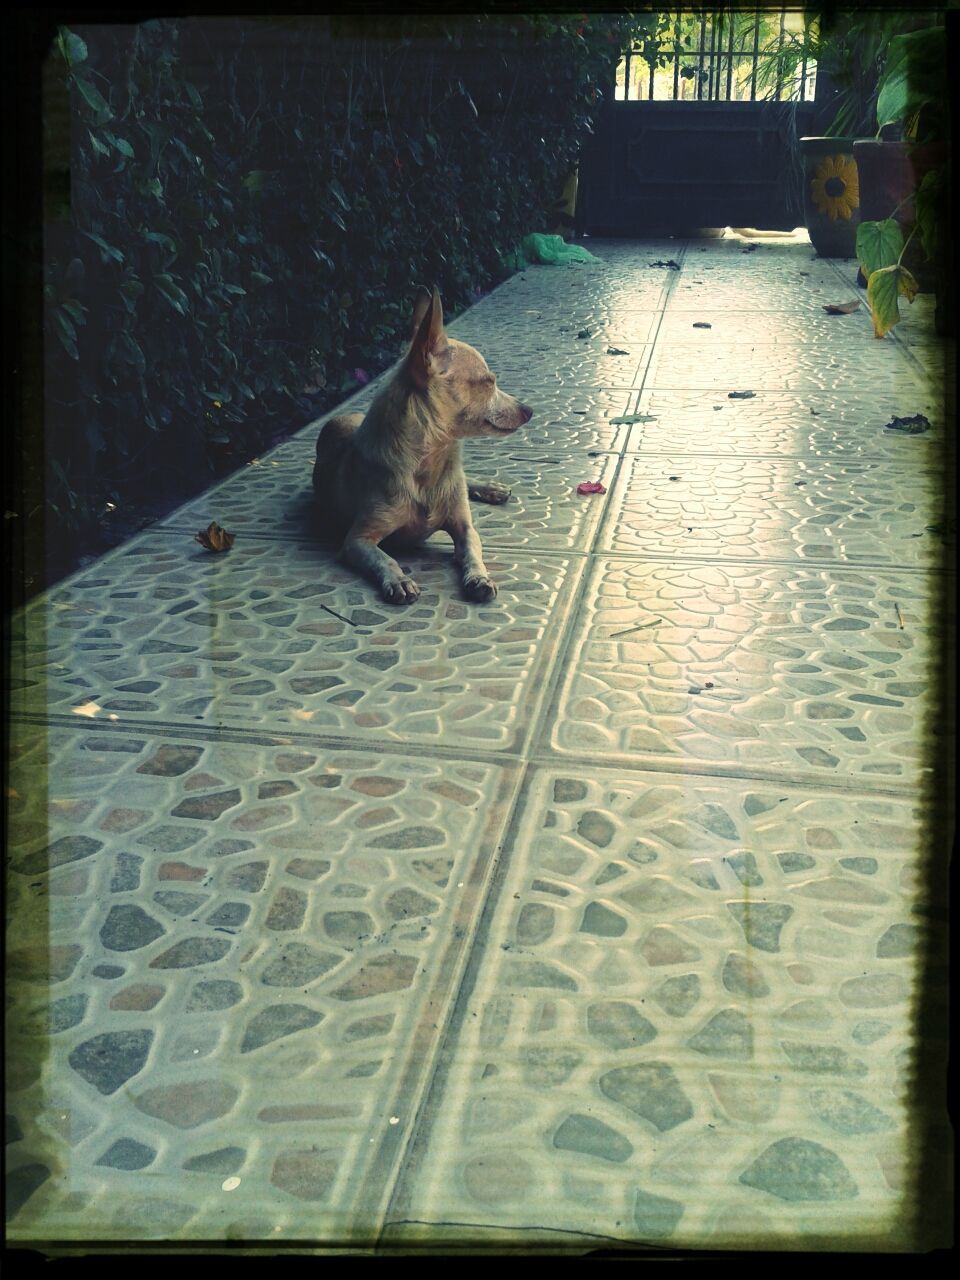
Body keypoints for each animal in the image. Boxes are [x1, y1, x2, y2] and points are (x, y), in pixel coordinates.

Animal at [313, 289, 535, 604]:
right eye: (487, 382)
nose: (529, 410)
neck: (432, 461)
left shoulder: (465, 528)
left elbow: (472, 552)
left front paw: (479, 577)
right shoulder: (357, 540)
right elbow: (384, 558)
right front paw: (398, 580)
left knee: (465, 480)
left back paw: (490, 488)